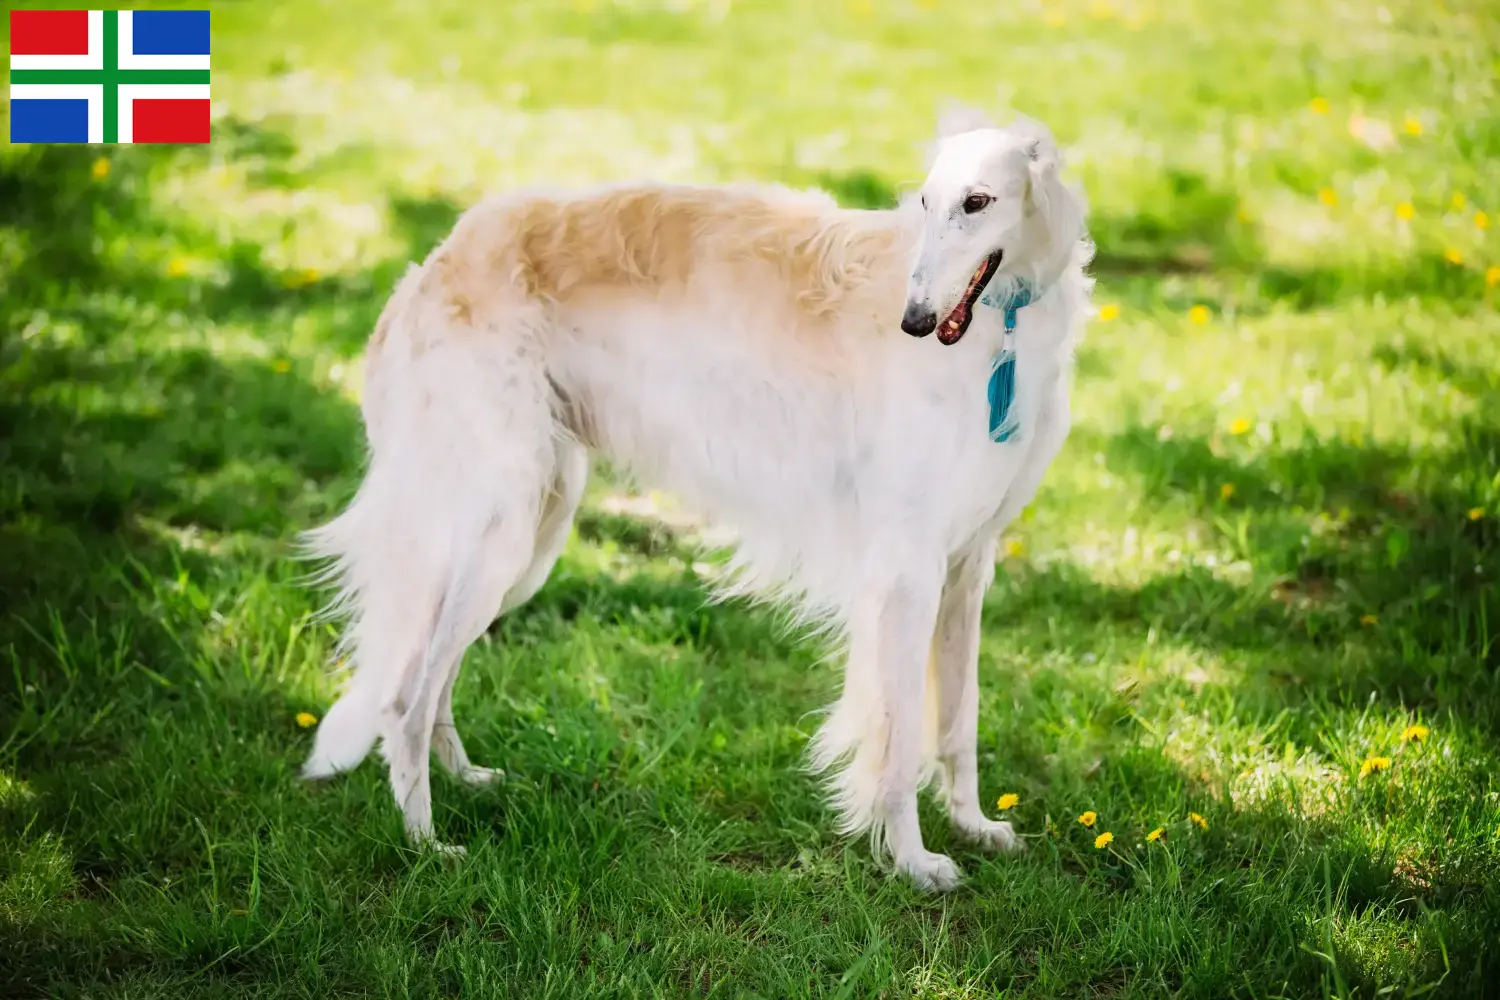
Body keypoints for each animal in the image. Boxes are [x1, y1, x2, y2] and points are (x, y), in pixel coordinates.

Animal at [304, 111, 1098, 893]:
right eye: (928, 202)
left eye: (978, 202)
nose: (916, 320)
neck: (1002, 329)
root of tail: (432, 265)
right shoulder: (907, 570)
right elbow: (900, 742)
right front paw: (913, 861)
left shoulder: (967, 564)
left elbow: (959, 722)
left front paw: (974, 826)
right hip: (494, 531)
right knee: (402, 700)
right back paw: (426, 845)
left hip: (527, 533)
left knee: (433, 681)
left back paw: (466, 780)